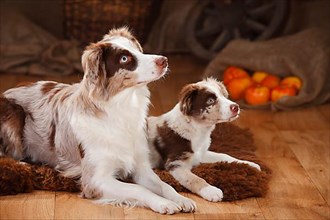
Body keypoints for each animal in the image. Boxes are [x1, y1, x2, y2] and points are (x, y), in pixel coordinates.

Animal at [0, 27, 196, 215]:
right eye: (124, 58)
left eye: (137, 49)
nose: (164, 60)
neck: (121, 110)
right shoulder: (95, 180)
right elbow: (139, 189)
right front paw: (164, 203)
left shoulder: (142, 168)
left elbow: (164, 185)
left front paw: (181, 199)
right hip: (14, 113)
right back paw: (24, 165)